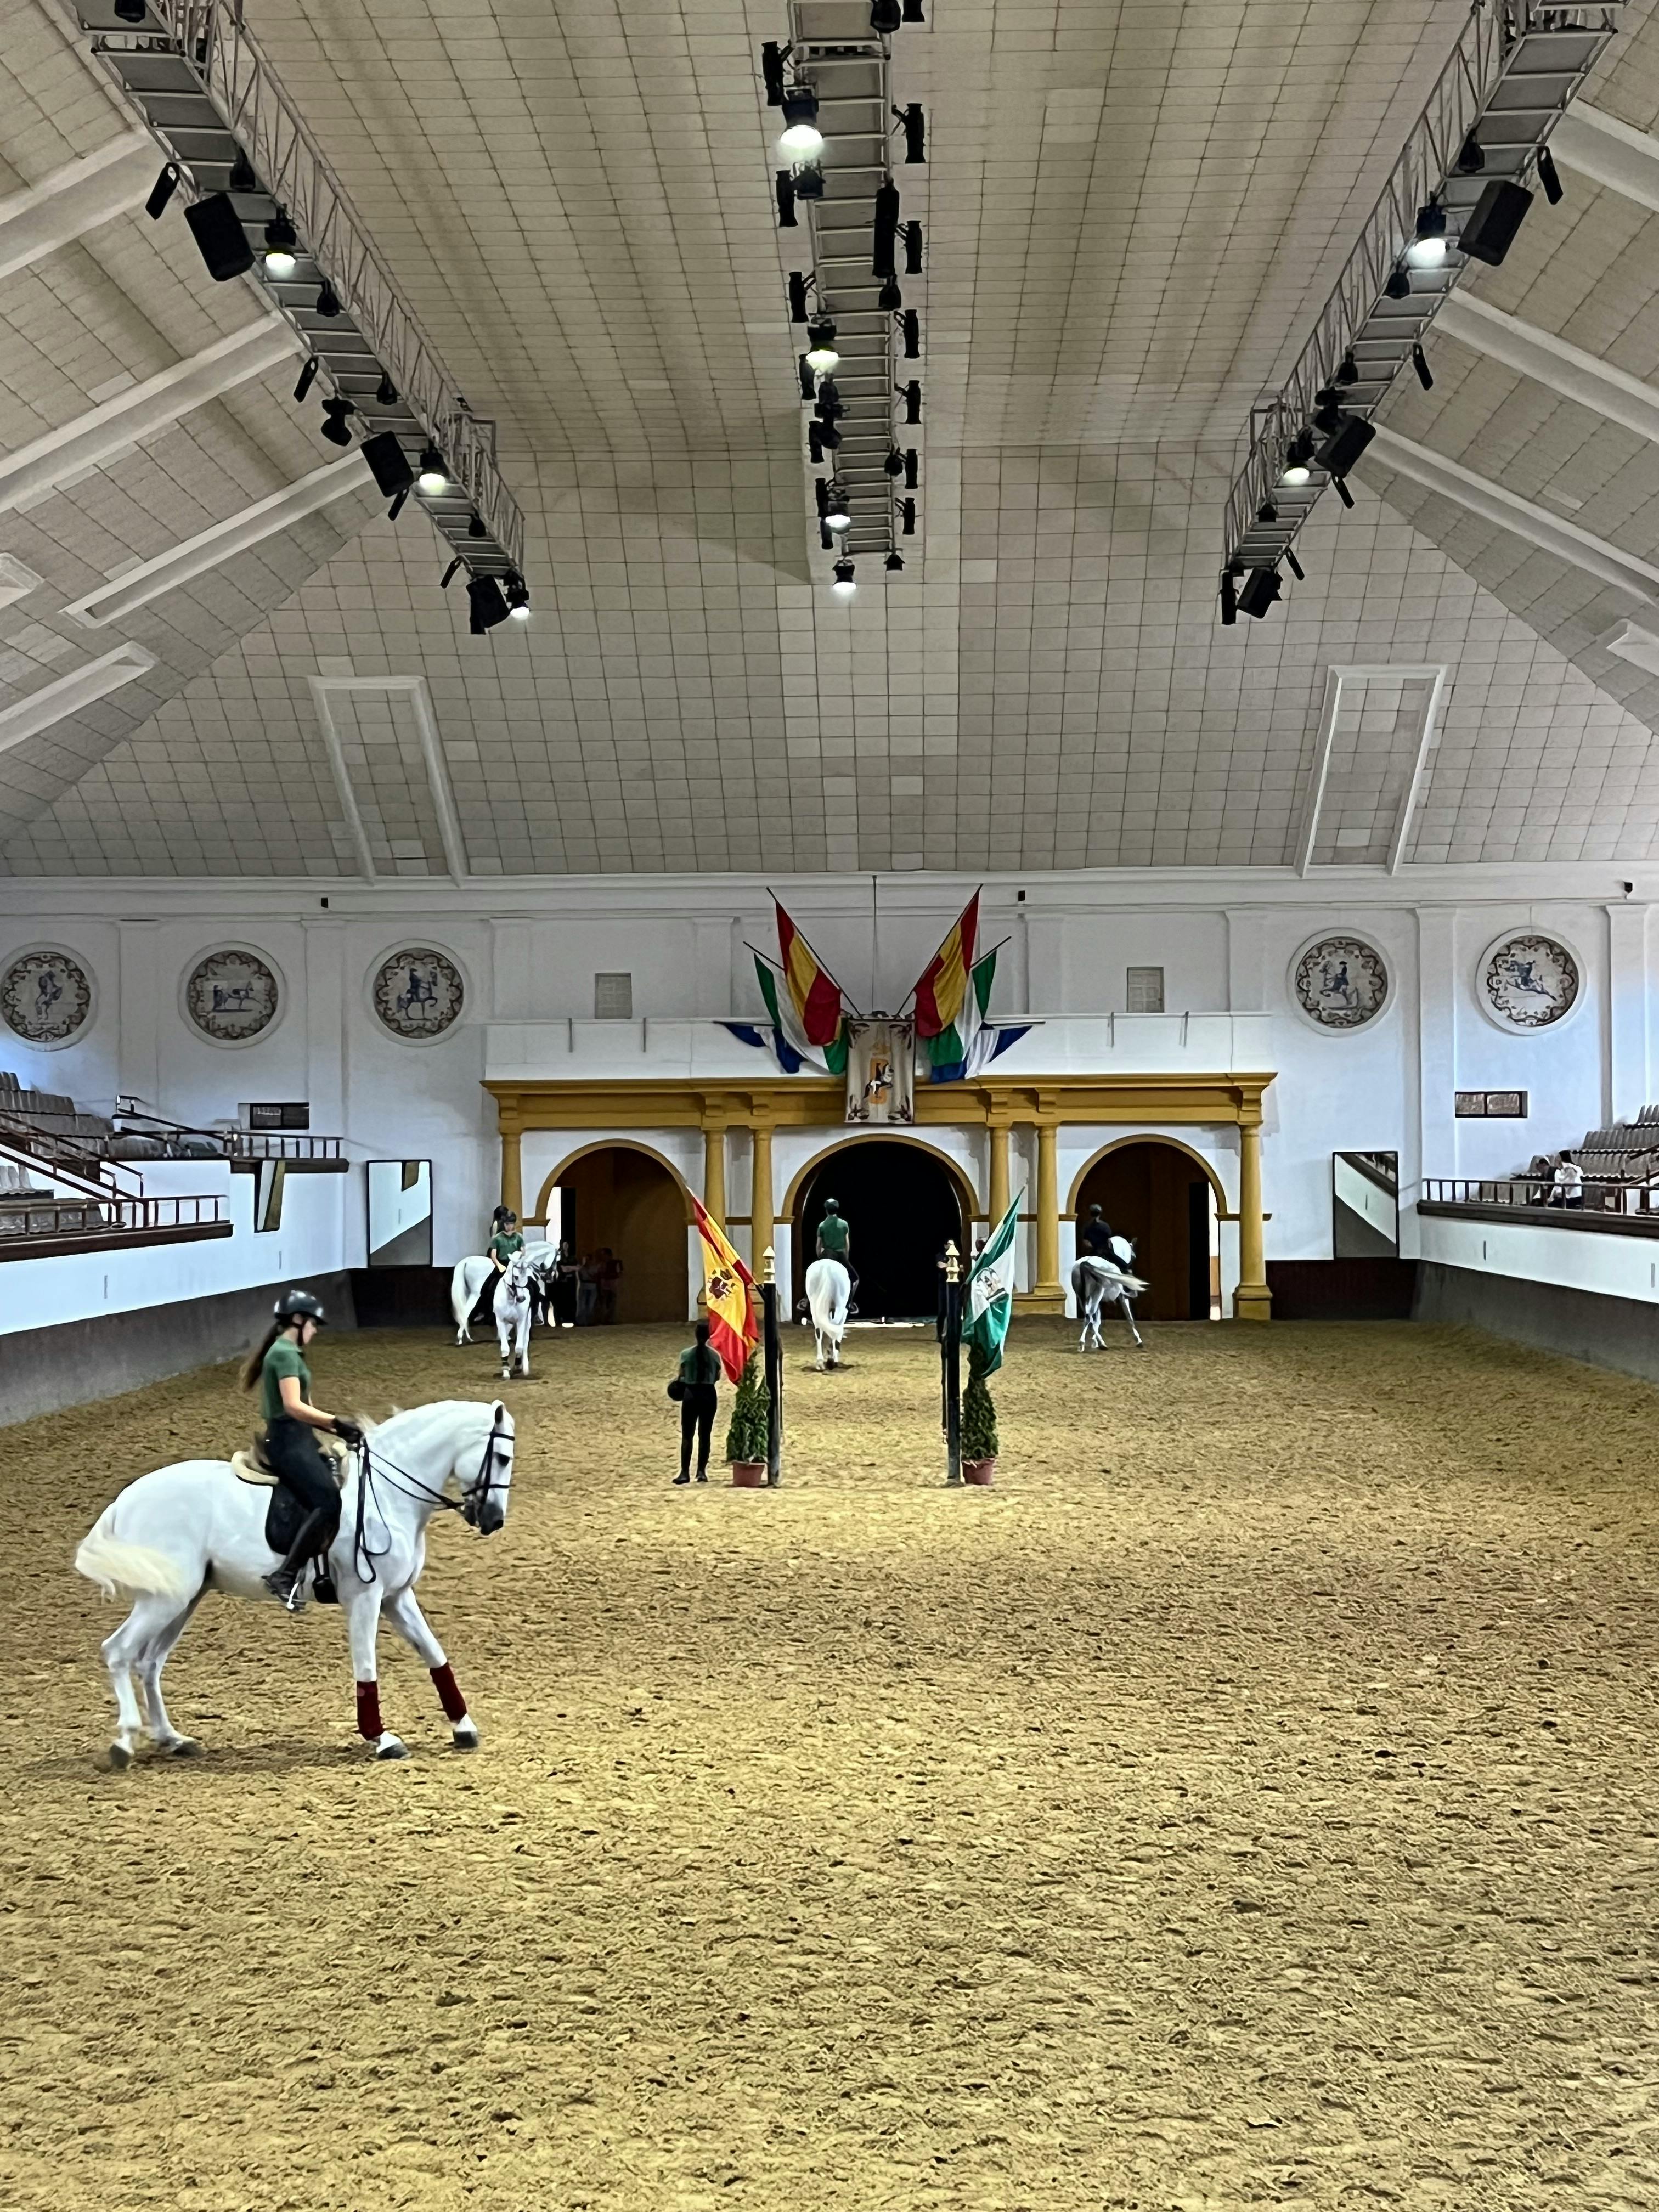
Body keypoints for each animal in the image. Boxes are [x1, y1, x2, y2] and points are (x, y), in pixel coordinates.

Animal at [72, 1399, 514, 1767]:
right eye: (502, 1457)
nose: (493, 1521)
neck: (388, 1498)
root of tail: (126, 1499)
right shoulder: (365, 1597)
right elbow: (366, 1666)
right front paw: (382, 1738)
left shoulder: (396, 1597)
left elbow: (435, 1655)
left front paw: (463, 1727)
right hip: (164, 1600)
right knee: (119, 1652)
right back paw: (125, 1742)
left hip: (182, 1599)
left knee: (149, 1662)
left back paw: (172, 1739)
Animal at [494, 1249, 534, 1379]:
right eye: (516, 1277)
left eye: (527, 1276)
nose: (522, 1299)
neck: (511, 1298)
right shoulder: (501, 1321)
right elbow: (505, 1348)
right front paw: (506, 1372)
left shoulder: (521, 1321)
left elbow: (519, 1347)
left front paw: (518, 1367)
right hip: (510, 1325)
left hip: (527, 1323)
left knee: (524, 1343)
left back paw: (523, 1367)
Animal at [805, 1255, 850, 1371]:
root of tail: (827, 1268)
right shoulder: (844, 1311)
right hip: (840, 1305)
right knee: (836, 1326)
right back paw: (831, 1359)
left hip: (814, 1306)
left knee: (819, 1331)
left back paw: (821, 1363)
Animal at [1072, 1239, 1150, 1351]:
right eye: (1134, 1257)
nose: (1130, 1272)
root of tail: (1085, 1263)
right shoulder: (1123, 1297)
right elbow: (1130, 1318)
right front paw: (1139, 1341)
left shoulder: (1097, 1302)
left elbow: (1097, 1321)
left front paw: (1094, 1342)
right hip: (1096, 1295)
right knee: (1089, 1317)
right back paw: (1095, 1344)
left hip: (1082, 1298)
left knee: (1089, 1317)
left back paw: (1092, 1343)